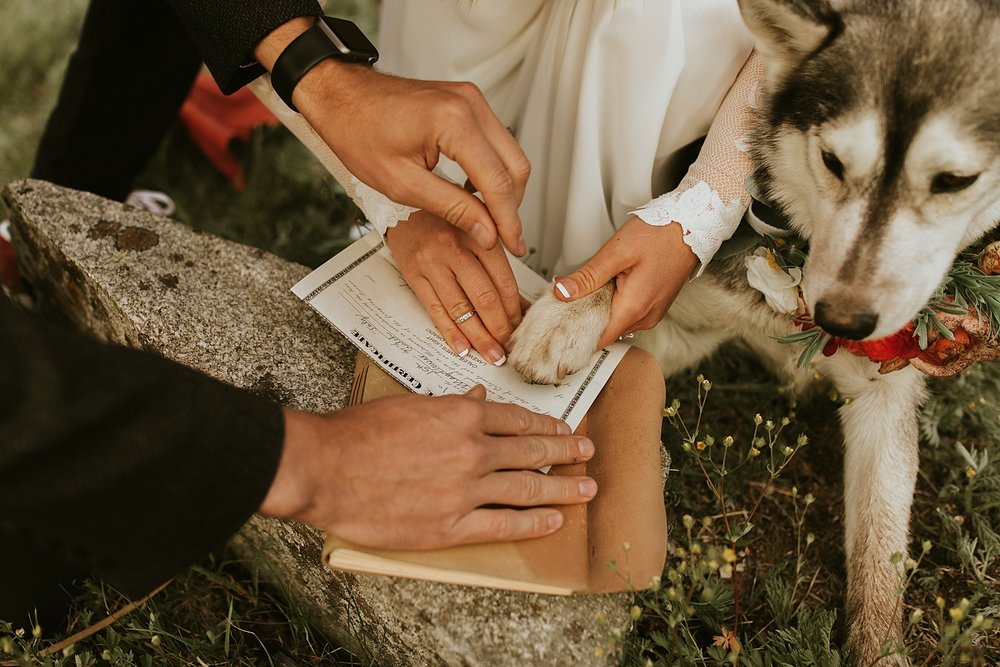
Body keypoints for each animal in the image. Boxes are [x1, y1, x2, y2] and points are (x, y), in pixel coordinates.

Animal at [508, 0, 1000, 664]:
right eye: (833, 163)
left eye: (954, 181)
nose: (839, 320)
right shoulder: (680, 319)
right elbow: (635, 269)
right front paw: (566, 313)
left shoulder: (886, 394)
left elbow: (880, 556)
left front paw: (880, 648)